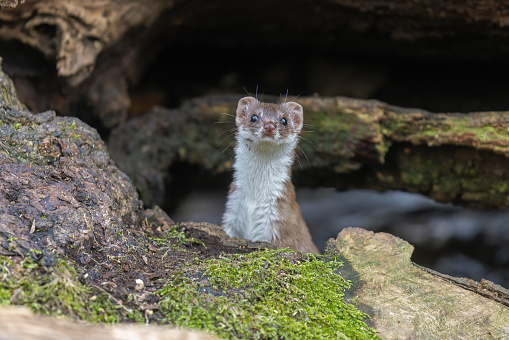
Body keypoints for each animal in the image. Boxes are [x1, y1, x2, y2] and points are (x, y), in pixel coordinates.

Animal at [221, 95, 318, 252]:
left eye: (284, 120)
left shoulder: (281, 222)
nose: (269, 126)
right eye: (254, 117)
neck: (253, 200)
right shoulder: (232, 212)